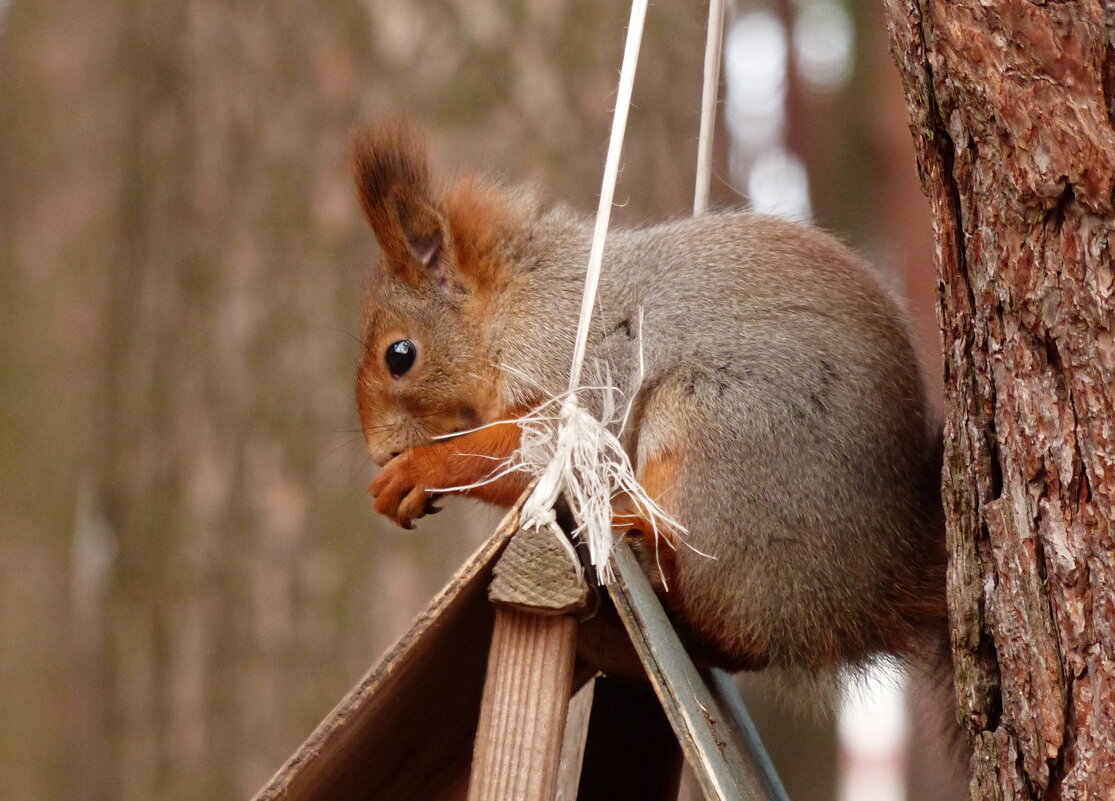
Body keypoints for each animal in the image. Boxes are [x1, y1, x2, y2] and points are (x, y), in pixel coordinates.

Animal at [352, 122, 945, 673]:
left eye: (399, 355)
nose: (379, 451)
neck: (518, 301)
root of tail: (865, 598)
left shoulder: (578, 374)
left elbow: (529, 458)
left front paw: (419, 470)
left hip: (720, 441)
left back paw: (645, 538)